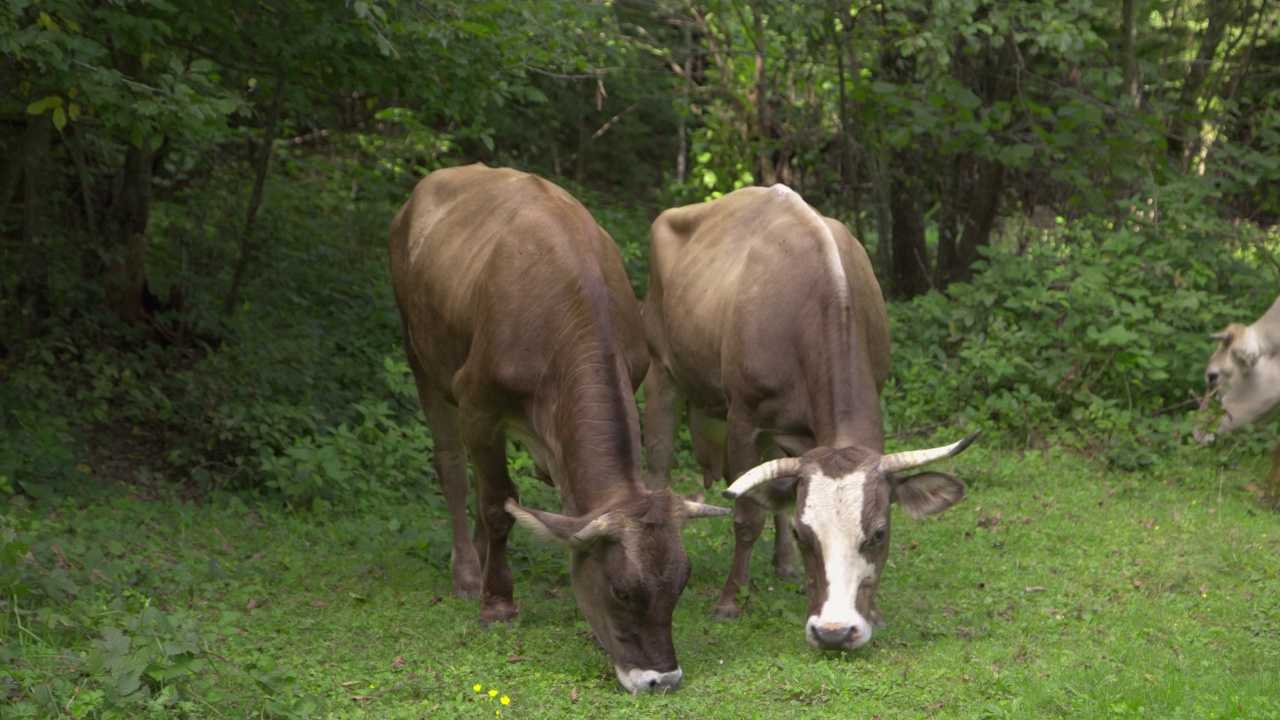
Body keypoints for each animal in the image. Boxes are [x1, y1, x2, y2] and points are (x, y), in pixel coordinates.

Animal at [389, 163, 727, 691]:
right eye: (620, 590)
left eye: (682, 583)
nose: (662, 678)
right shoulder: (477, 404)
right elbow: (496, 505)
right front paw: (497, 604)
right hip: (420, 356)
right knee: (454, 470)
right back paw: (467, 573)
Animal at [640, 181, 977, 648]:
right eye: (806, 535)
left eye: (880, 532)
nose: (834, 632)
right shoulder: (743, 422)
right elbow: (747, 517)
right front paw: (730, 600)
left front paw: (874, 612)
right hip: (662, 369)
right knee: (659, 466)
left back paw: (783, 565)